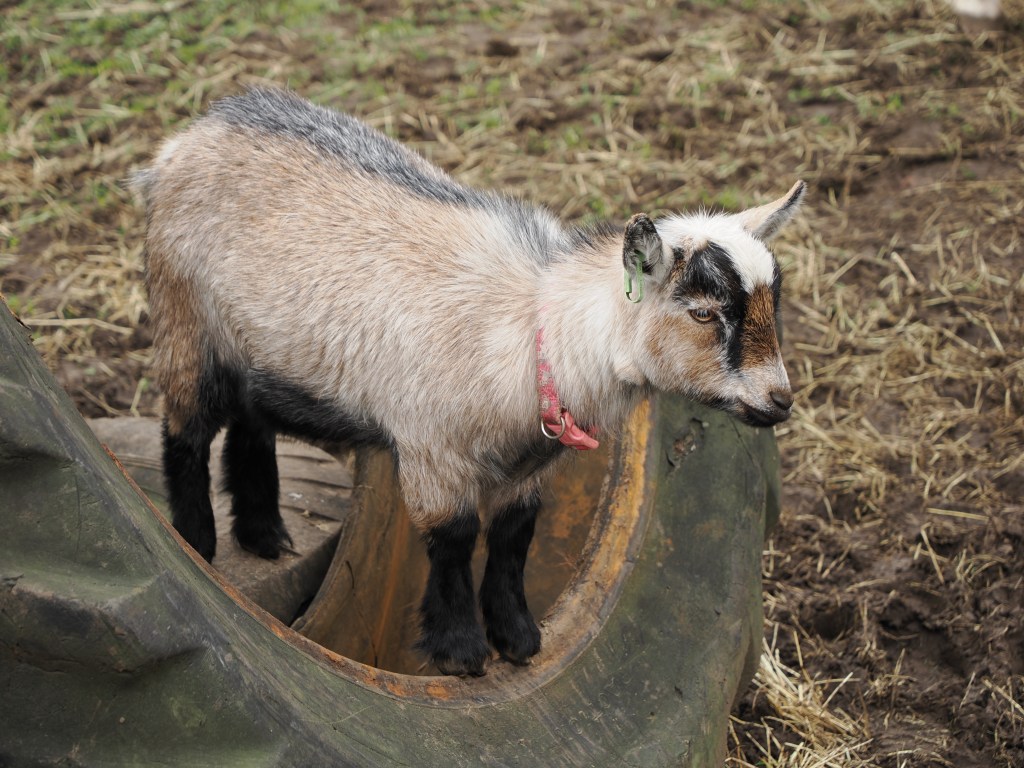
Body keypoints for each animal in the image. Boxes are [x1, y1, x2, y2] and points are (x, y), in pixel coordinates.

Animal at [136, 87, 805, 676]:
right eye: (703, 313)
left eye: (774, 304)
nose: (779, 401)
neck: (537, 332)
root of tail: (187, 137)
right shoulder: (433, 452)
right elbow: (455, 540)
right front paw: (460, 650)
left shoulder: (529, 470)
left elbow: (512, 540)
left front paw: (518, 638)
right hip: (185, 317)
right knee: (185, 431)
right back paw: (196, 542)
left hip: (262, 346)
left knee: (251, 421)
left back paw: (264, 535)